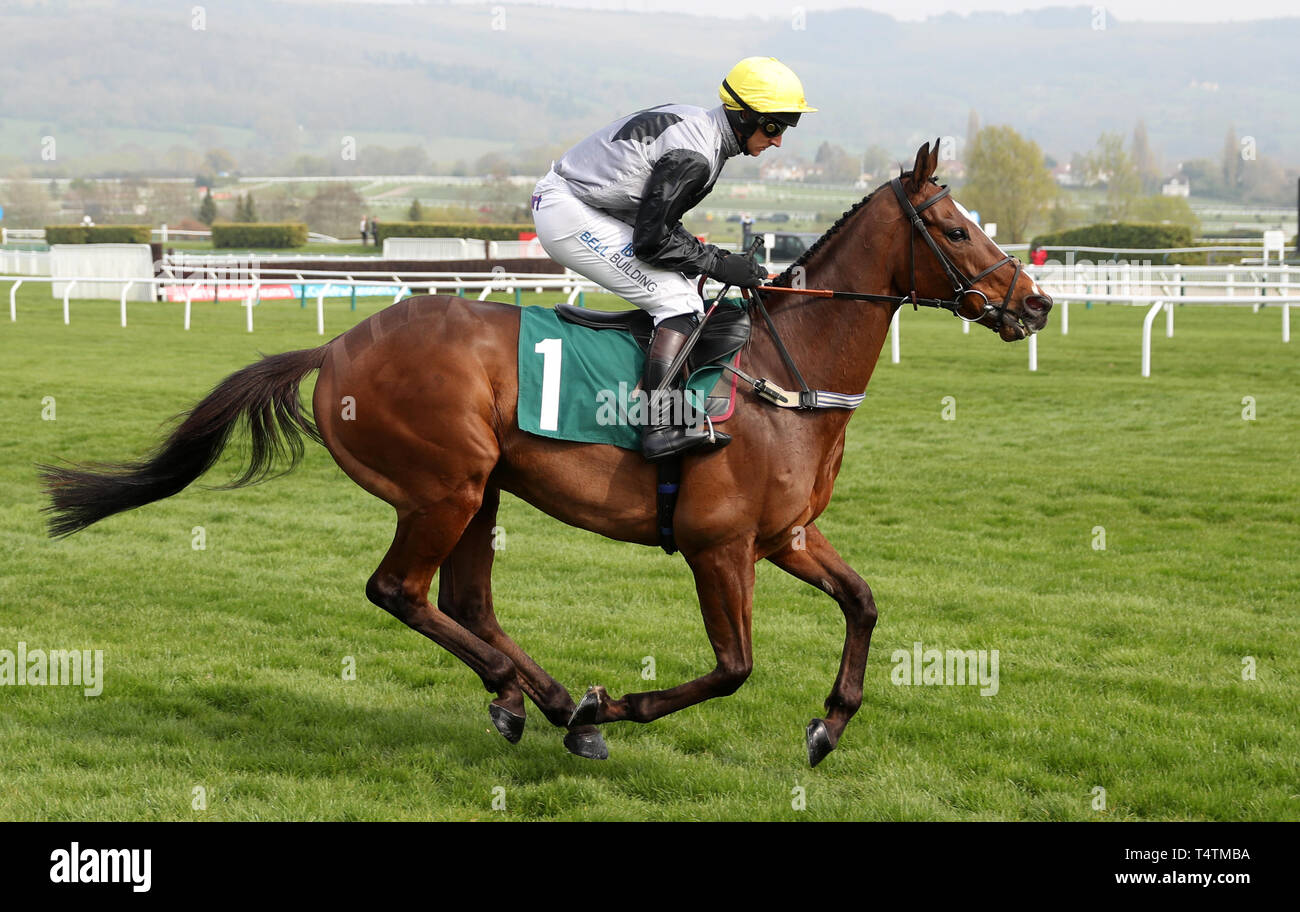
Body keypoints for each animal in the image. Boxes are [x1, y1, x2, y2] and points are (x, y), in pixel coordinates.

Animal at [40, 144, 1050, 769]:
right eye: (956, 230)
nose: (1035, 303)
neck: (780, 372)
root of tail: (335, 347)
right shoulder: (718, 546)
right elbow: (734, 667)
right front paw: (619, 706)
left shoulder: (787, 538)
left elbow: (865, 603)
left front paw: (827, 728)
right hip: (442, 487)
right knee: (399, 591)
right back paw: (557, 705)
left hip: (481, 490)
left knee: (464, 602)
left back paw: (541, 701)